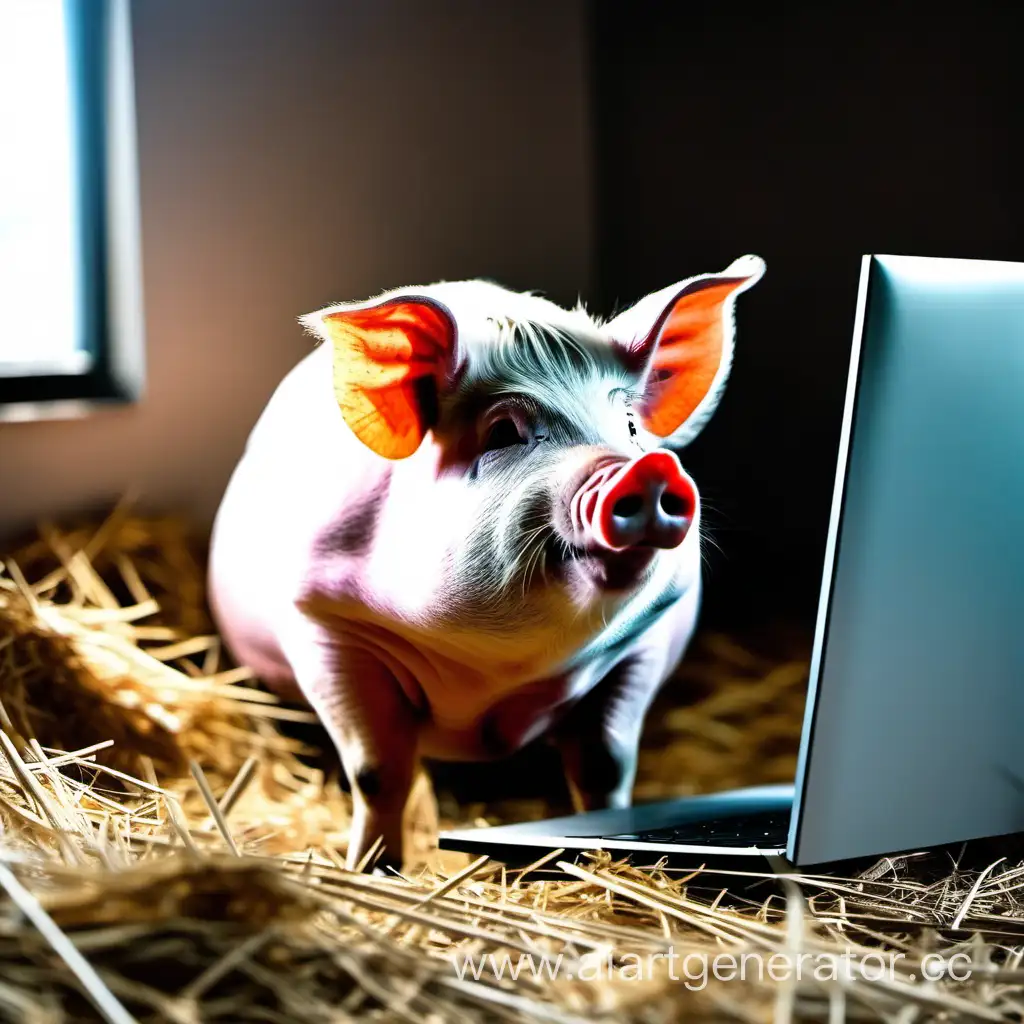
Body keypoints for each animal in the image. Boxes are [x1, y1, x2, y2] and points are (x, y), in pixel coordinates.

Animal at [207, 253, 765, 864]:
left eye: (631, 428)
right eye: (503, 432)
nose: (646, 468)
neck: (491, 669)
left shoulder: (644, 642)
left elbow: (606, 767)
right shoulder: (327, 626)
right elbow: (378, 772)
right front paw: (376, 868)